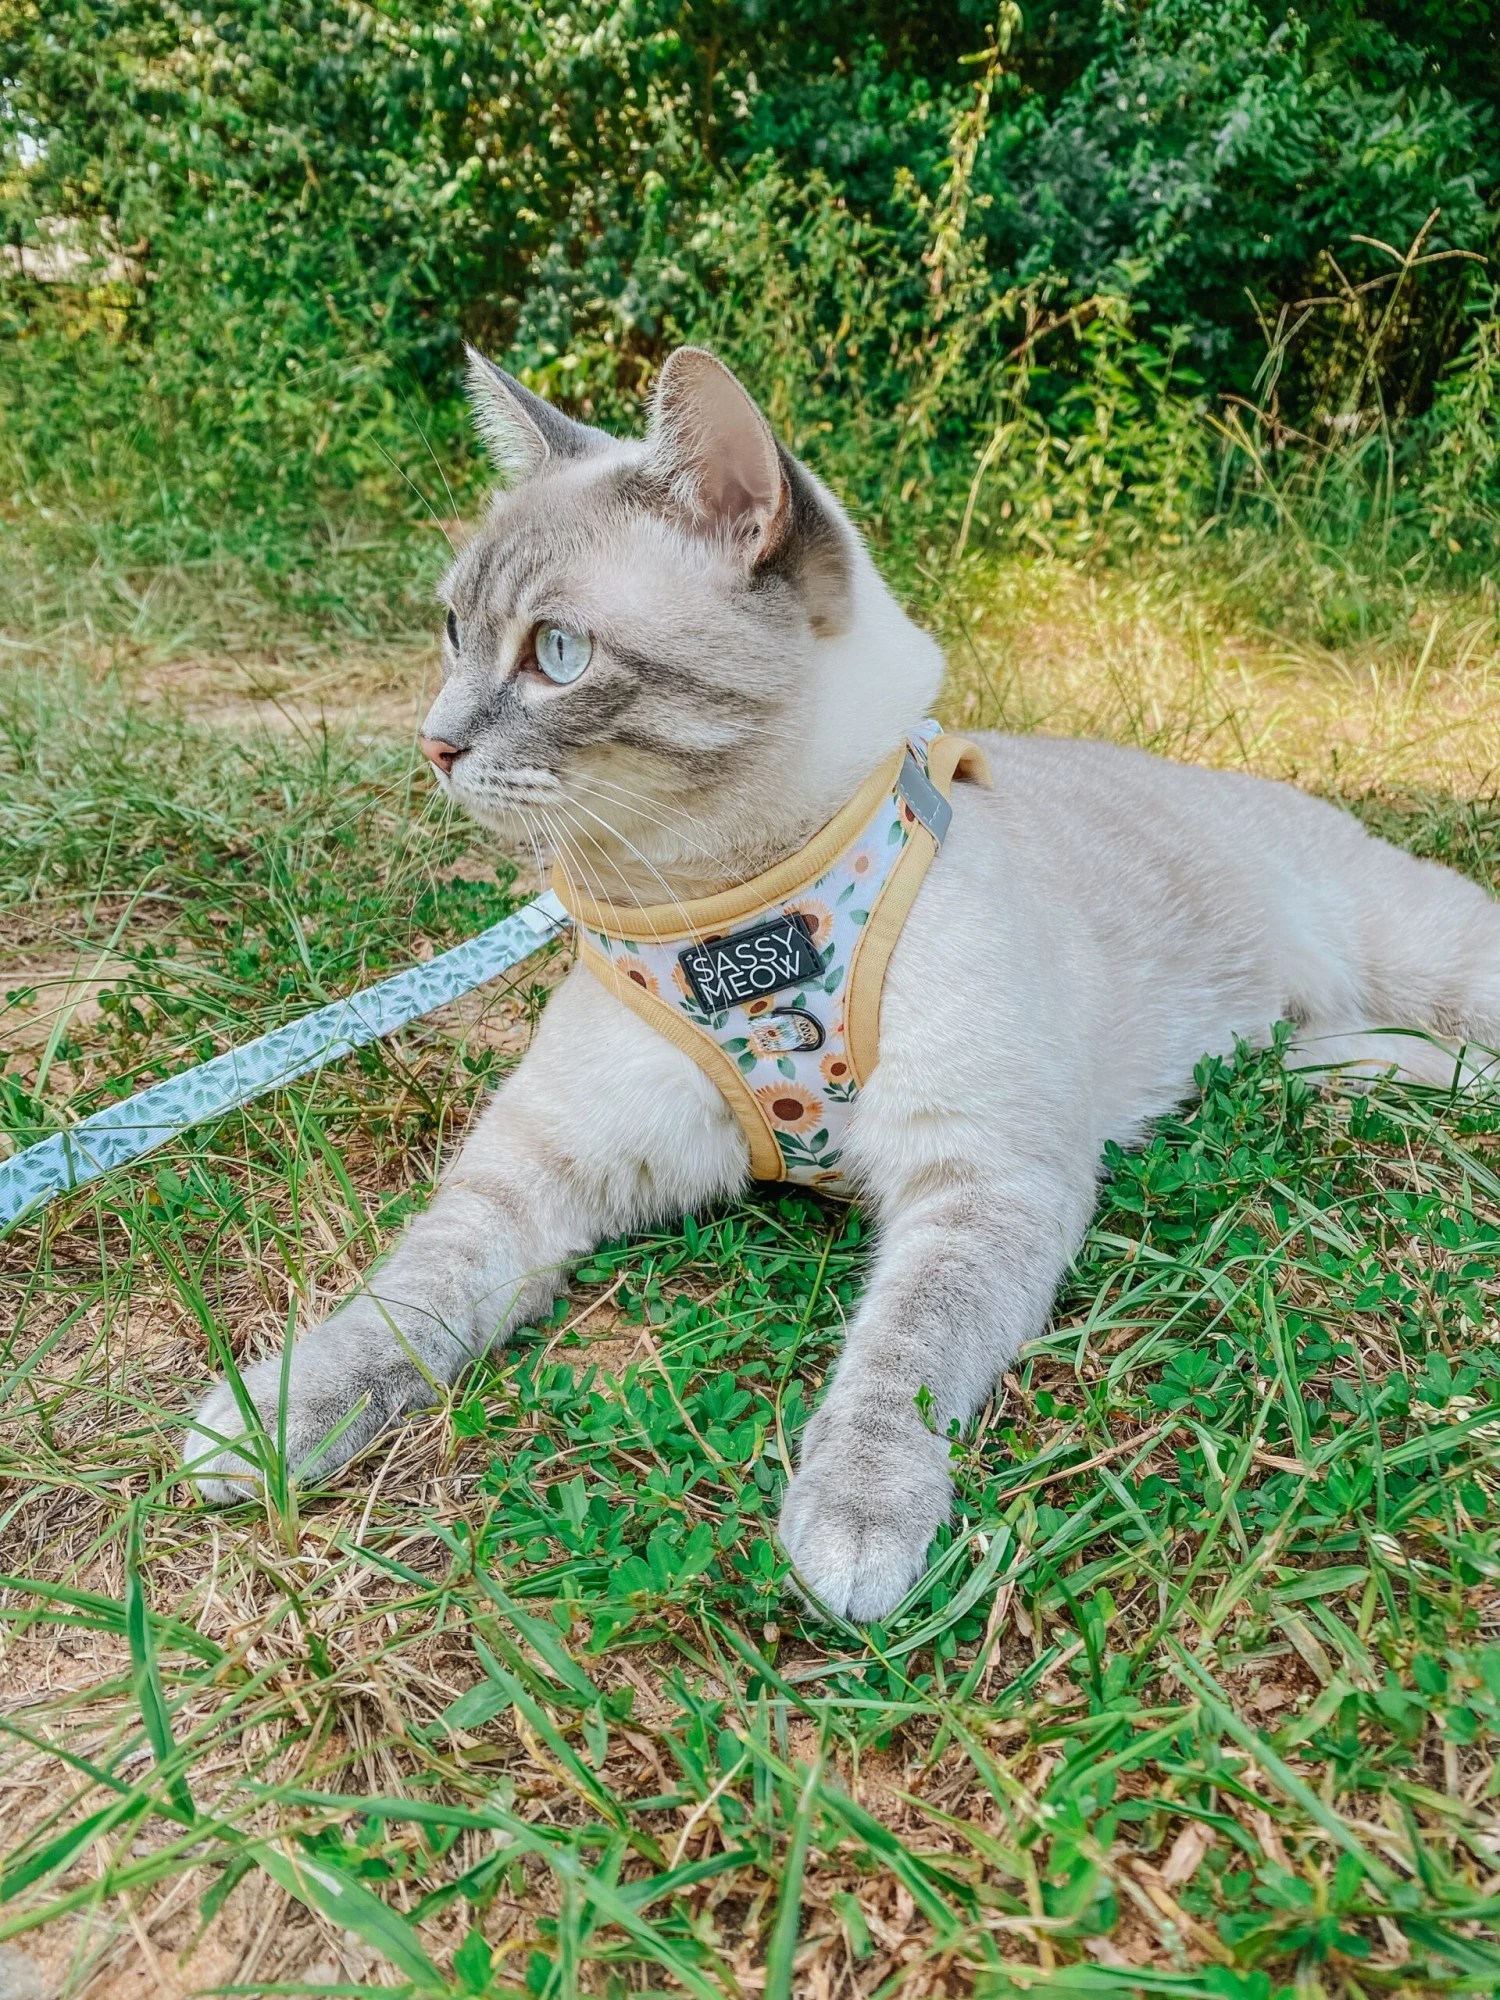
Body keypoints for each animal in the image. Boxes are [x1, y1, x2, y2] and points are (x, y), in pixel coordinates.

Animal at [185, 344, 1500, 1620]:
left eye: (557, 654)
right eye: (453, 630)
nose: (435, 741)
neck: (728, 920)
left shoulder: (981, 1181)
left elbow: (900, 1360)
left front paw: (856, 1526)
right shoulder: (537, 1167)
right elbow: (412, 1294)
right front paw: (271, 1422)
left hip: (1422, 953)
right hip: (1288, 1055)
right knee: (1341, 1058)